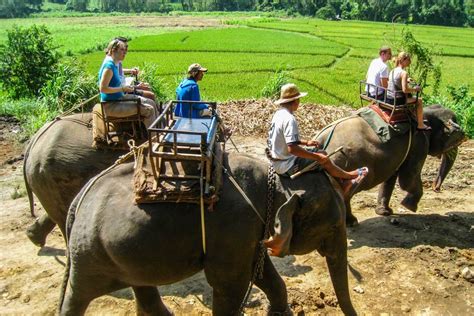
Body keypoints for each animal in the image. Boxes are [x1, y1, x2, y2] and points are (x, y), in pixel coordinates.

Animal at [59, 152, 356, 314]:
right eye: (333, 226)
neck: (276, 180)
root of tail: (78, 199)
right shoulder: (234, 229)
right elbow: (230, 284)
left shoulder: (250, 232)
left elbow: (263, 274)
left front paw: (281, 312)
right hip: (90, 255)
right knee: (78, 295)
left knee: (142, 287)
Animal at [314, 105, 466, 226]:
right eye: (455, 140)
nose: (436, 188)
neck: (424, 113)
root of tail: (320, 139)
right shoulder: (419, 143)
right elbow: (407, 179)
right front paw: (410, 207)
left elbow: (391, 176)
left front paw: (385, 212)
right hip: (347, 162)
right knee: (348, 191)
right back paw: (351, 222)